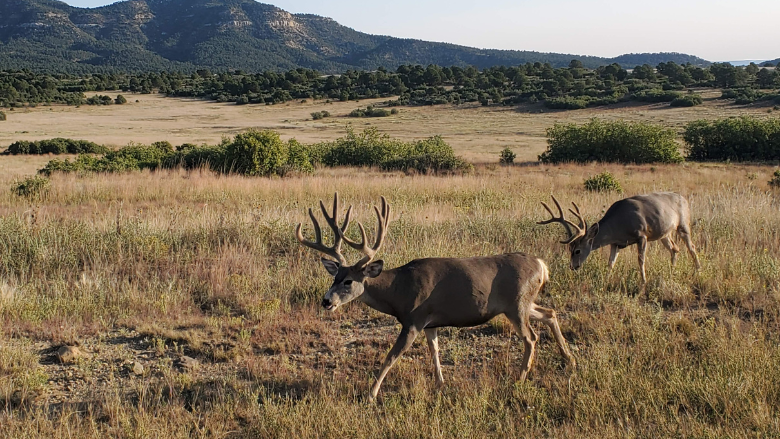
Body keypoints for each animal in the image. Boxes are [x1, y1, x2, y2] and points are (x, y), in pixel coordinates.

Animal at [295, 193, 576, 401]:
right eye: (334, 277)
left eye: (348, 281)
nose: (326, 301)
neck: (399, 290)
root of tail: (542, 265)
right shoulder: (431, 323)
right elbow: (435, 351)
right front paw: (441, 383)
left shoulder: (414, 319)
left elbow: (391, 356)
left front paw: (371, 393)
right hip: (521, 303)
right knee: (550, 313)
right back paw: (569, 359)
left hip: (517, 304)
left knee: (531, 338)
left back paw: (520, 378)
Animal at [538, 192, 701, 286]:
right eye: (569, 248)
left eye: (577, 250)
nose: (573, 266)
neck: (619, 224)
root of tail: (684, 198)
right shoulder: (615, 243)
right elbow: (611, 263)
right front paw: (605, 280)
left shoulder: (642, 235)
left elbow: (641, 260)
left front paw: (643, 281)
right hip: (664, 234)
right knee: (675, 249)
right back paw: (672, 271)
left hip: (683, 224)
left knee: (692, 247)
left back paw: (698, 271)